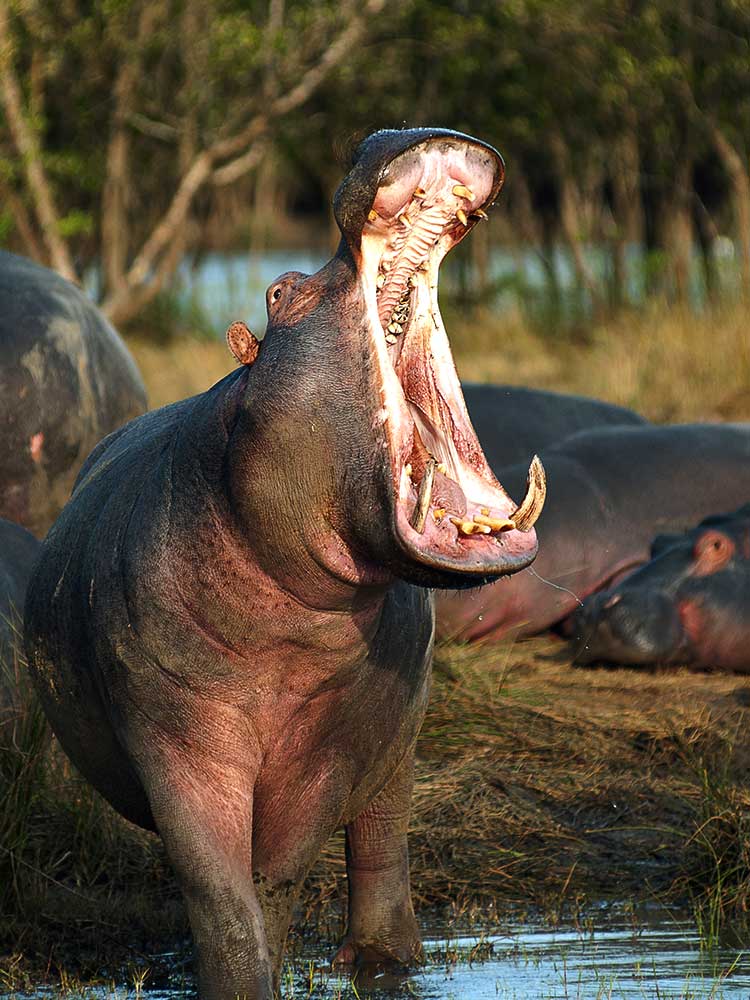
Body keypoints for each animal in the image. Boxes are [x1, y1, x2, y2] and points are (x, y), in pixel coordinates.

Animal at [24, 128, 545, 999]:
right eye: (277, 292)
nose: (385, 131)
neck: (293, 627)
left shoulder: (335, 743)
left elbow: (280, 872)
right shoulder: (176, 740)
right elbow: (216, 884)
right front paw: (240, 978)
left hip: (400, 741)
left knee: (381, 844)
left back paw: (384, 963)